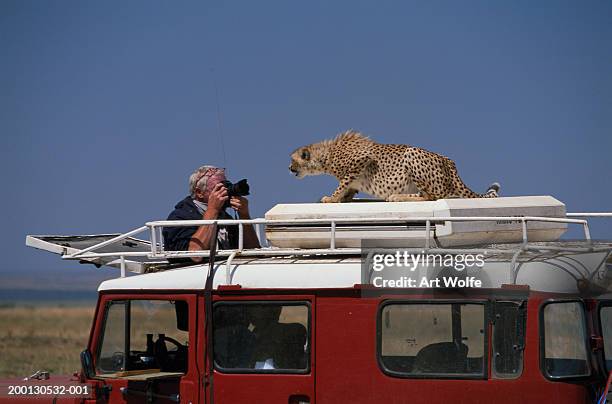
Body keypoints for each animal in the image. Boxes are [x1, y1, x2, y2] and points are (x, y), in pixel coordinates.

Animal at [290, 129, 500, 202]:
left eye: (293, 160)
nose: (289, 169)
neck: (326, 155)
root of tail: (450, 163)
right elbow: (348, 186)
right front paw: (344, 198)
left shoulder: (363, 159)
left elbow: (342, 183)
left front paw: (332, 198)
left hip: (411, 153)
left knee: (431, 196)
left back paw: (398, 196)